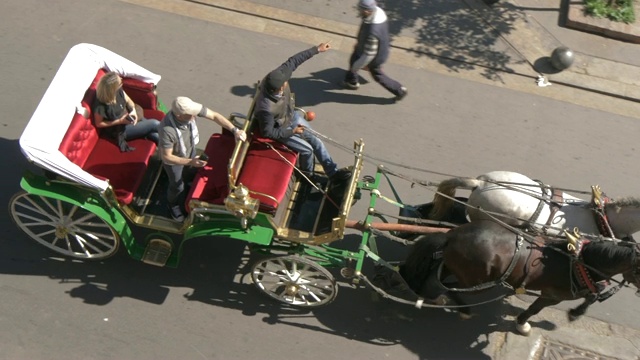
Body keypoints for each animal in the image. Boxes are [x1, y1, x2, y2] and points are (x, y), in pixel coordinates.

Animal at [400, 221, 640, 336]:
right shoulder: (554, 295)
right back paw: (462, 309)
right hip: (478, 282)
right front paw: (523, 323)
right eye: (639, 270)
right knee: (449, 288)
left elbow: (592, 295)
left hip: (456, 267)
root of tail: (452, 235)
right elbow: (534, 309)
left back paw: (426, 293)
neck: (579, 263)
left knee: (437, 276)